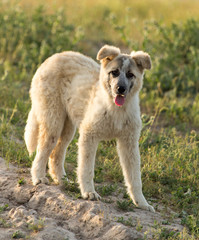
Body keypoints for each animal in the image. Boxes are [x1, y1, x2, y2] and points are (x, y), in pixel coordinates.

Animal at [24, 45, 155, 212]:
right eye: (114, 72)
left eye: (130, 74)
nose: (121, 89)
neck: (116, 110)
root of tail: (52, 57)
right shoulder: (89, 135)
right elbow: (87, 168)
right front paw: (89, 193)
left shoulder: (129, 143)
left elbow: (135, 177)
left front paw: (142, 203)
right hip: (53, 122)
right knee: (42, 152)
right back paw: (39, 178)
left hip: (68, 128)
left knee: (56, 154)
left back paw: (63, 180)